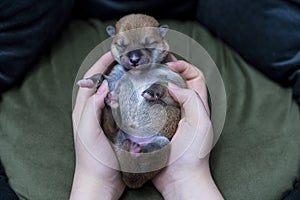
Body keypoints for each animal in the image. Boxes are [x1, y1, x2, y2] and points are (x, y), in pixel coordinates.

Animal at [77, 13, 186, 188]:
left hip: (162, 143)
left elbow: (163, 84)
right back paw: (114, 109)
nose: (134, 59)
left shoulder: (178, 83)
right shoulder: (115, 78)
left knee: (145, 159)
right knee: (113, 127)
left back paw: (137, 150)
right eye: (122, 45)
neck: (140, 73)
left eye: (148, 44)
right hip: (119, 137)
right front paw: (89, 81)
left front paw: (152, 91)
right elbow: (103, 78)